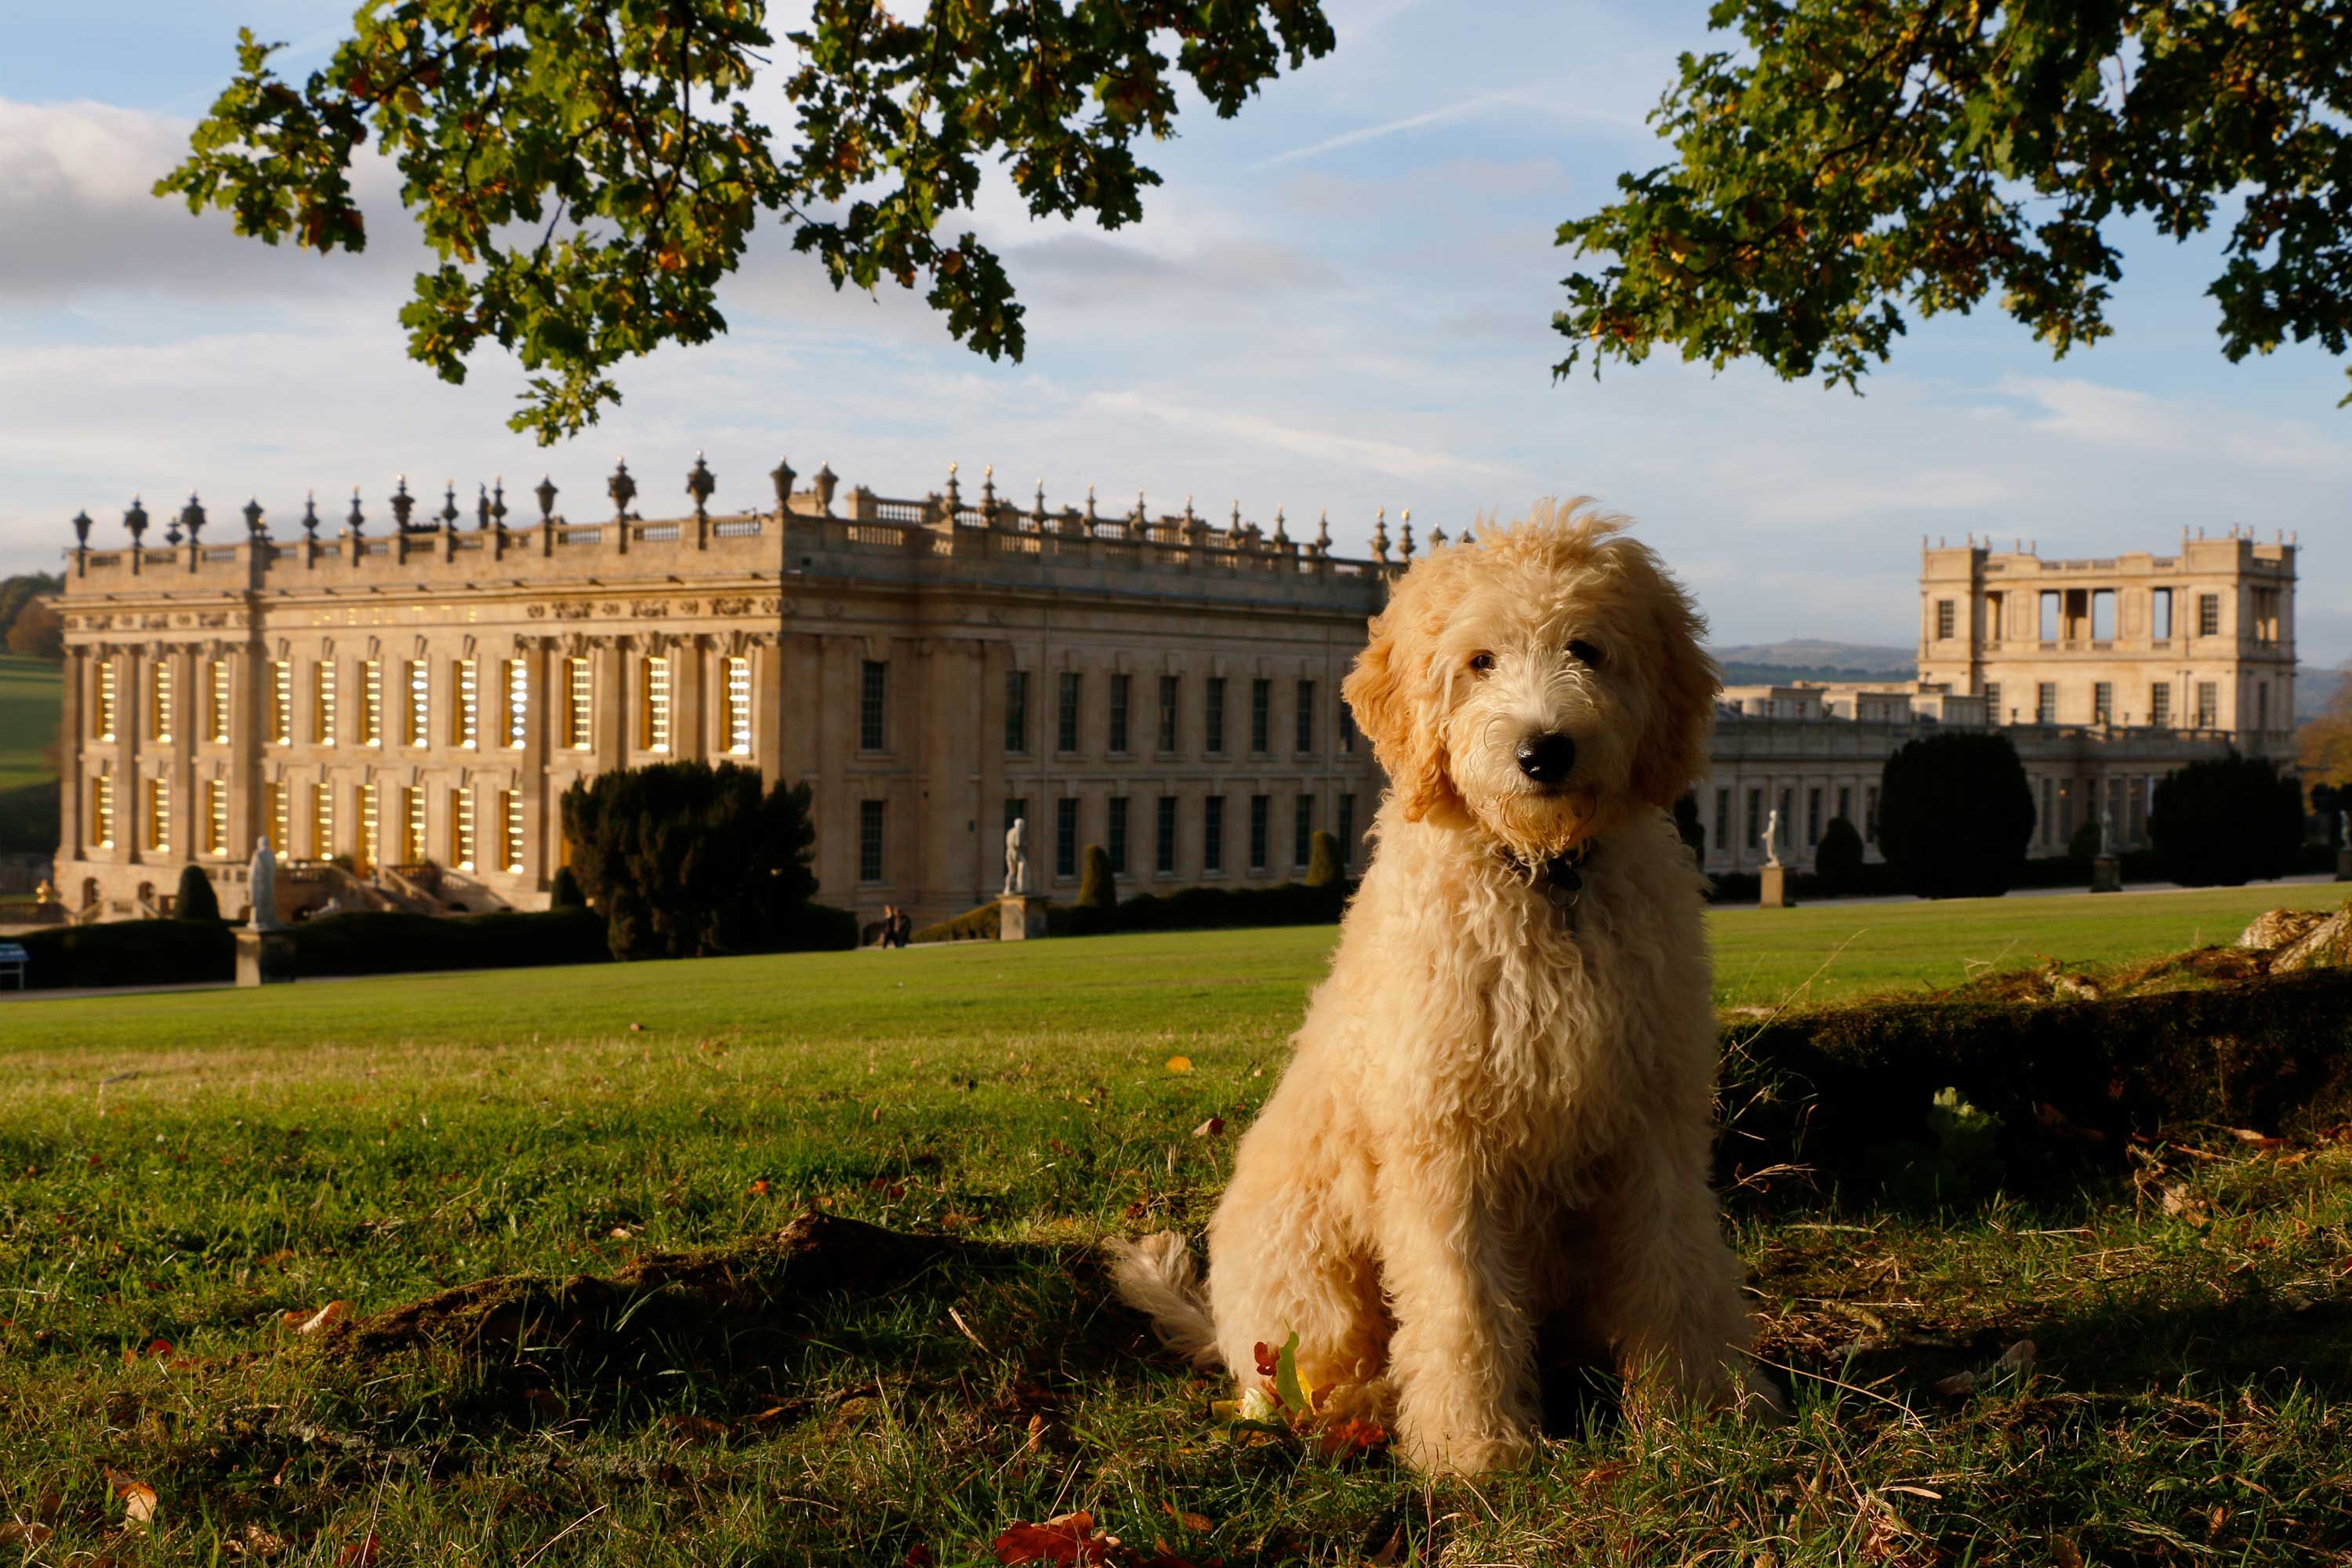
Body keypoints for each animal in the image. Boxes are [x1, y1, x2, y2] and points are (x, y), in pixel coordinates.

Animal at [1115, 500, 1769, 1476]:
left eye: (1587, 646)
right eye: (1479, 660)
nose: (1544, 750)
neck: (1543, 876)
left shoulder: (1653, 1115)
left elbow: (1676, 1261)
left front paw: (1702, 1410)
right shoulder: (1442, 1138)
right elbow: (1462, 1300)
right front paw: (1475, 1443)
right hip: (1307, 1265)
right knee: (1295, 1383)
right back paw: (1365, 1407)